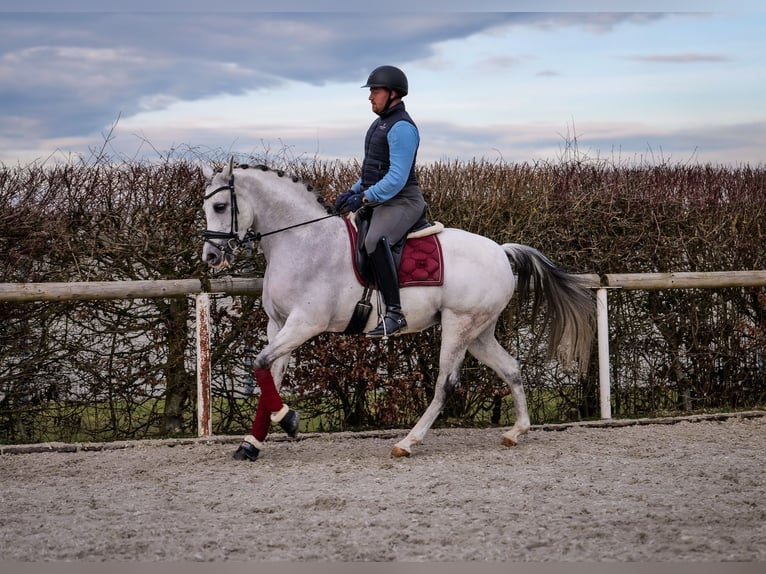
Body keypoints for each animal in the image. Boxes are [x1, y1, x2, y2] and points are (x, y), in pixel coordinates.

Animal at [201, 161, 596, 460]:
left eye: (220, 207)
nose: (211, 256)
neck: (302, 241)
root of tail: (500, 251)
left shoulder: (304, 324)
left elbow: (260, 364)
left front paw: (288, 420)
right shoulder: (277, 325)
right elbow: (268, 373)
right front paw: (251, 443)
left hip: (459, 325)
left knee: (446, 383)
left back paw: (408, 442)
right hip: (479, 332)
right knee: (511, 368)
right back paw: (517, 431)